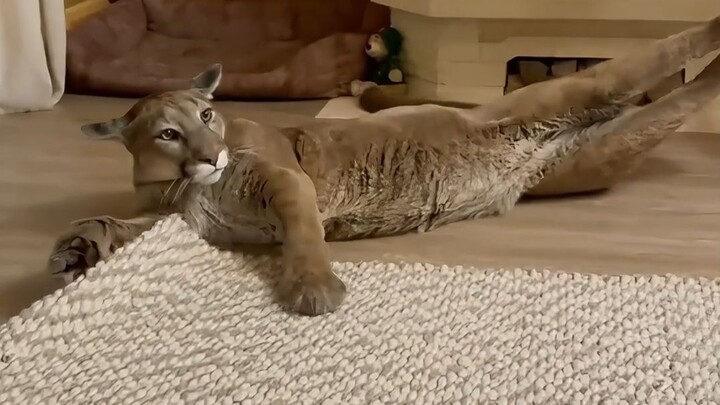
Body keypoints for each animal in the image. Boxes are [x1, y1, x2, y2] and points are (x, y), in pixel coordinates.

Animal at [47, 17, 720, 316]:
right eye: (169, 133)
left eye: (209, 115)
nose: (211, 155)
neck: (187, 190)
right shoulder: (181, 219)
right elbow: (118, 225)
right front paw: (77, 249)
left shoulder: (285, 179)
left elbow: (303, 234)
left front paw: (314, 287)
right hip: (605, 149)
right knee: (678, 98)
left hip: (581, 90)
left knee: (660, 56)